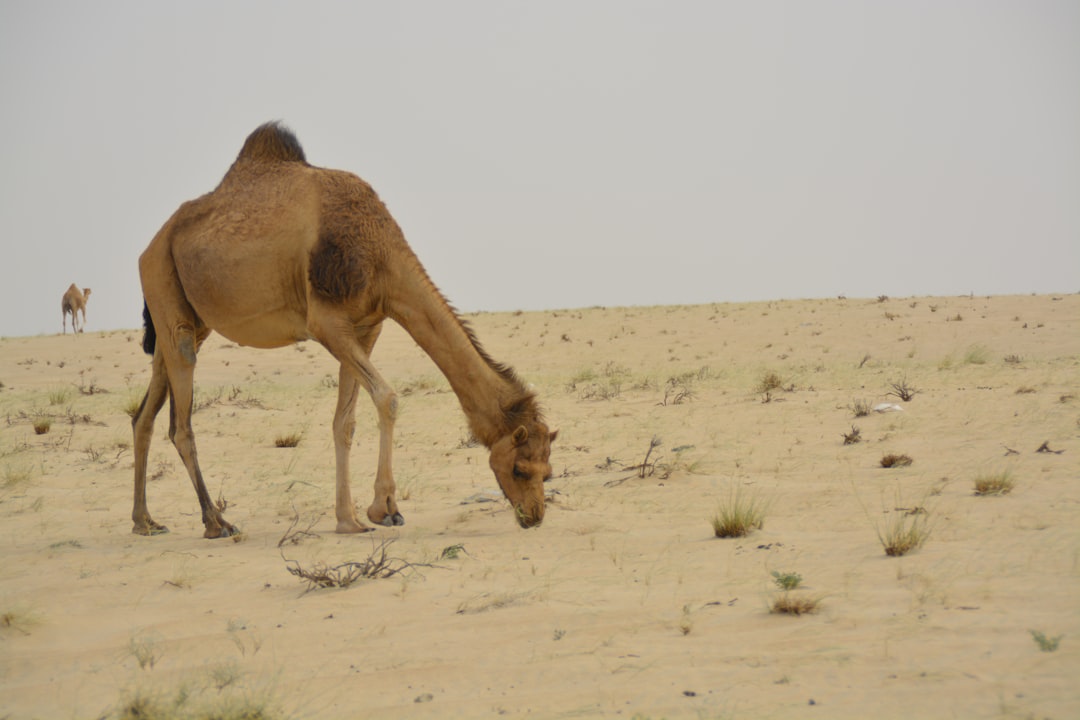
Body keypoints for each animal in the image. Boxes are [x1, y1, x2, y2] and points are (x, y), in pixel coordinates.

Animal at [131, 122, 556, 538]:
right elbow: (387, 398)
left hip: (187, 319)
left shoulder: (366, 326)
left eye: (547, 472)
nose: (534, 515)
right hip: (166, 291)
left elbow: (344, 422)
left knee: (145, 414)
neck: (381, 257)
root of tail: (148, 247)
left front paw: (347, 519)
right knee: (181, 424)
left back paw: (145, 521)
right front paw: (384, 509)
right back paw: (215, 522)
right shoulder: (327, 322)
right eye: (520, 469)